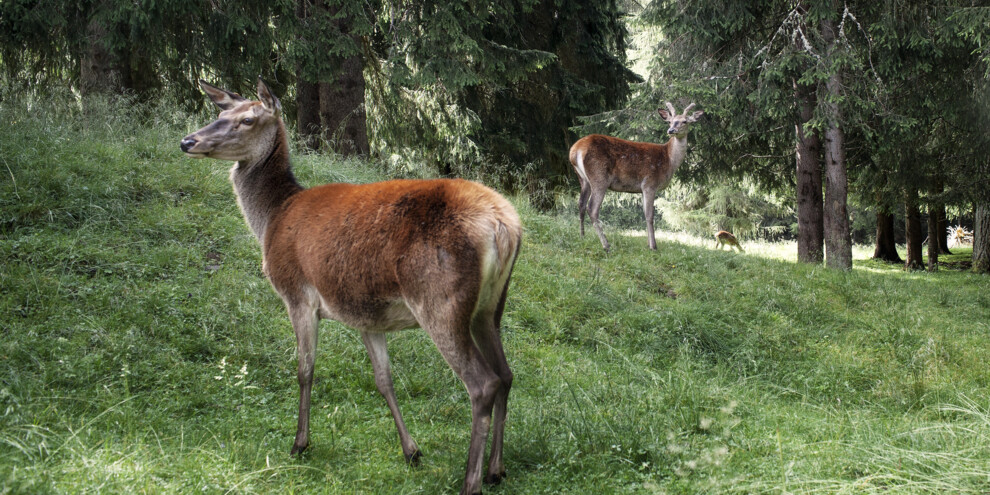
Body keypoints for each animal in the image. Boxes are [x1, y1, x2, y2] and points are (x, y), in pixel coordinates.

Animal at [179, 79, 524, 494]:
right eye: (221, 113)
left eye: (247, 119)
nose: (187, 141)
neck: (271, 220)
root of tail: (503, 225)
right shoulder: (364, 315)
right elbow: (384, 380)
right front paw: (411, 451)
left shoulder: (296, 293)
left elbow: (305, 369)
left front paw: (299, 444)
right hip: (490, 306)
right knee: (506, 374)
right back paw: (495, 469)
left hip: (440, 301)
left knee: (483, 383)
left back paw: (470, 481)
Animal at [568, 103, 700, 254]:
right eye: (670, 121)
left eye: (684, 121)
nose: (671, 130)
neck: (668, 160)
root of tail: (575, 150)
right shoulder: (650, 183)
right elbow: (649, 215)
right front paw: (653, 246)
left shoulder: (642, 188)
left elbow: (644, 213)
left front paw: (648, 244)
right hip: (599, 176)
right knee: (592, 208)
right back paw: (606, 246)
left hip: (583, 179)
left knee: (581, 204)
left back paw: (582, 237)